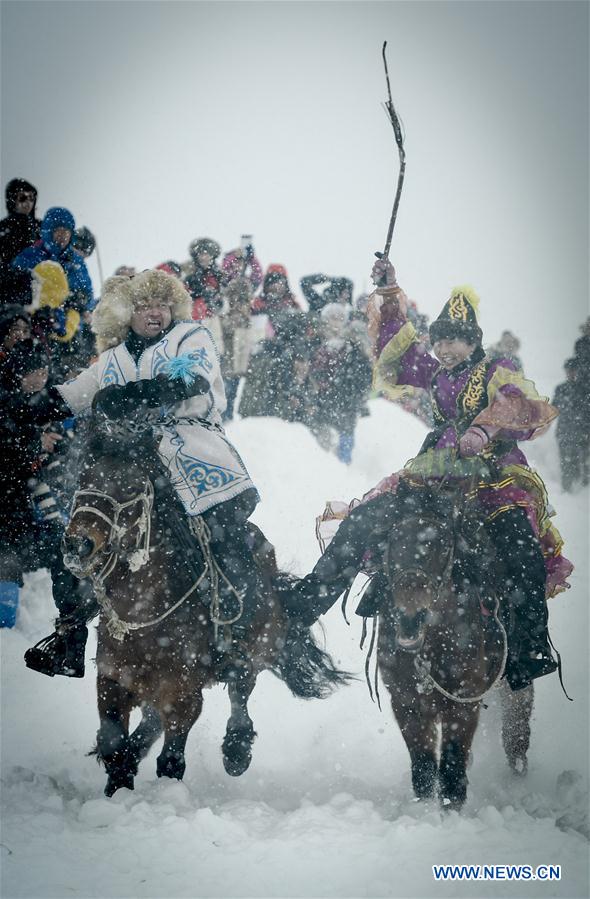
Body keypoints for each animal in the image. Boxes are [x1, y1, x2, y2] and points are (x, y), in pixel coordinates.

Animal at [65, 418, 352, 800]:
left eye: (131, 487)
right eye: (84, 478)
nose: (77, 543)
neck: (144, 614)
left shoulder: (184, 694)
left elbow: (172, 759)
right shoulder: (112, 679)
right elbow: (113, 743)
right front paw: (119, 786)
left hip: (253, 652)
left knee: (240, 692)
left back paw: (237, 750)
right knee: (152, 722)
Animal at [374, 482, 532, 812]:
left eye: (443, 545)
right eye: (393, 540)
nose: (410, 617)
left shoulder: (463, 703)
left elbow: (451, 766)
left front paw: (450, 812)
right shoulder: (406, 703)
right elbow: (423, 767)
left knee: (516, 726)